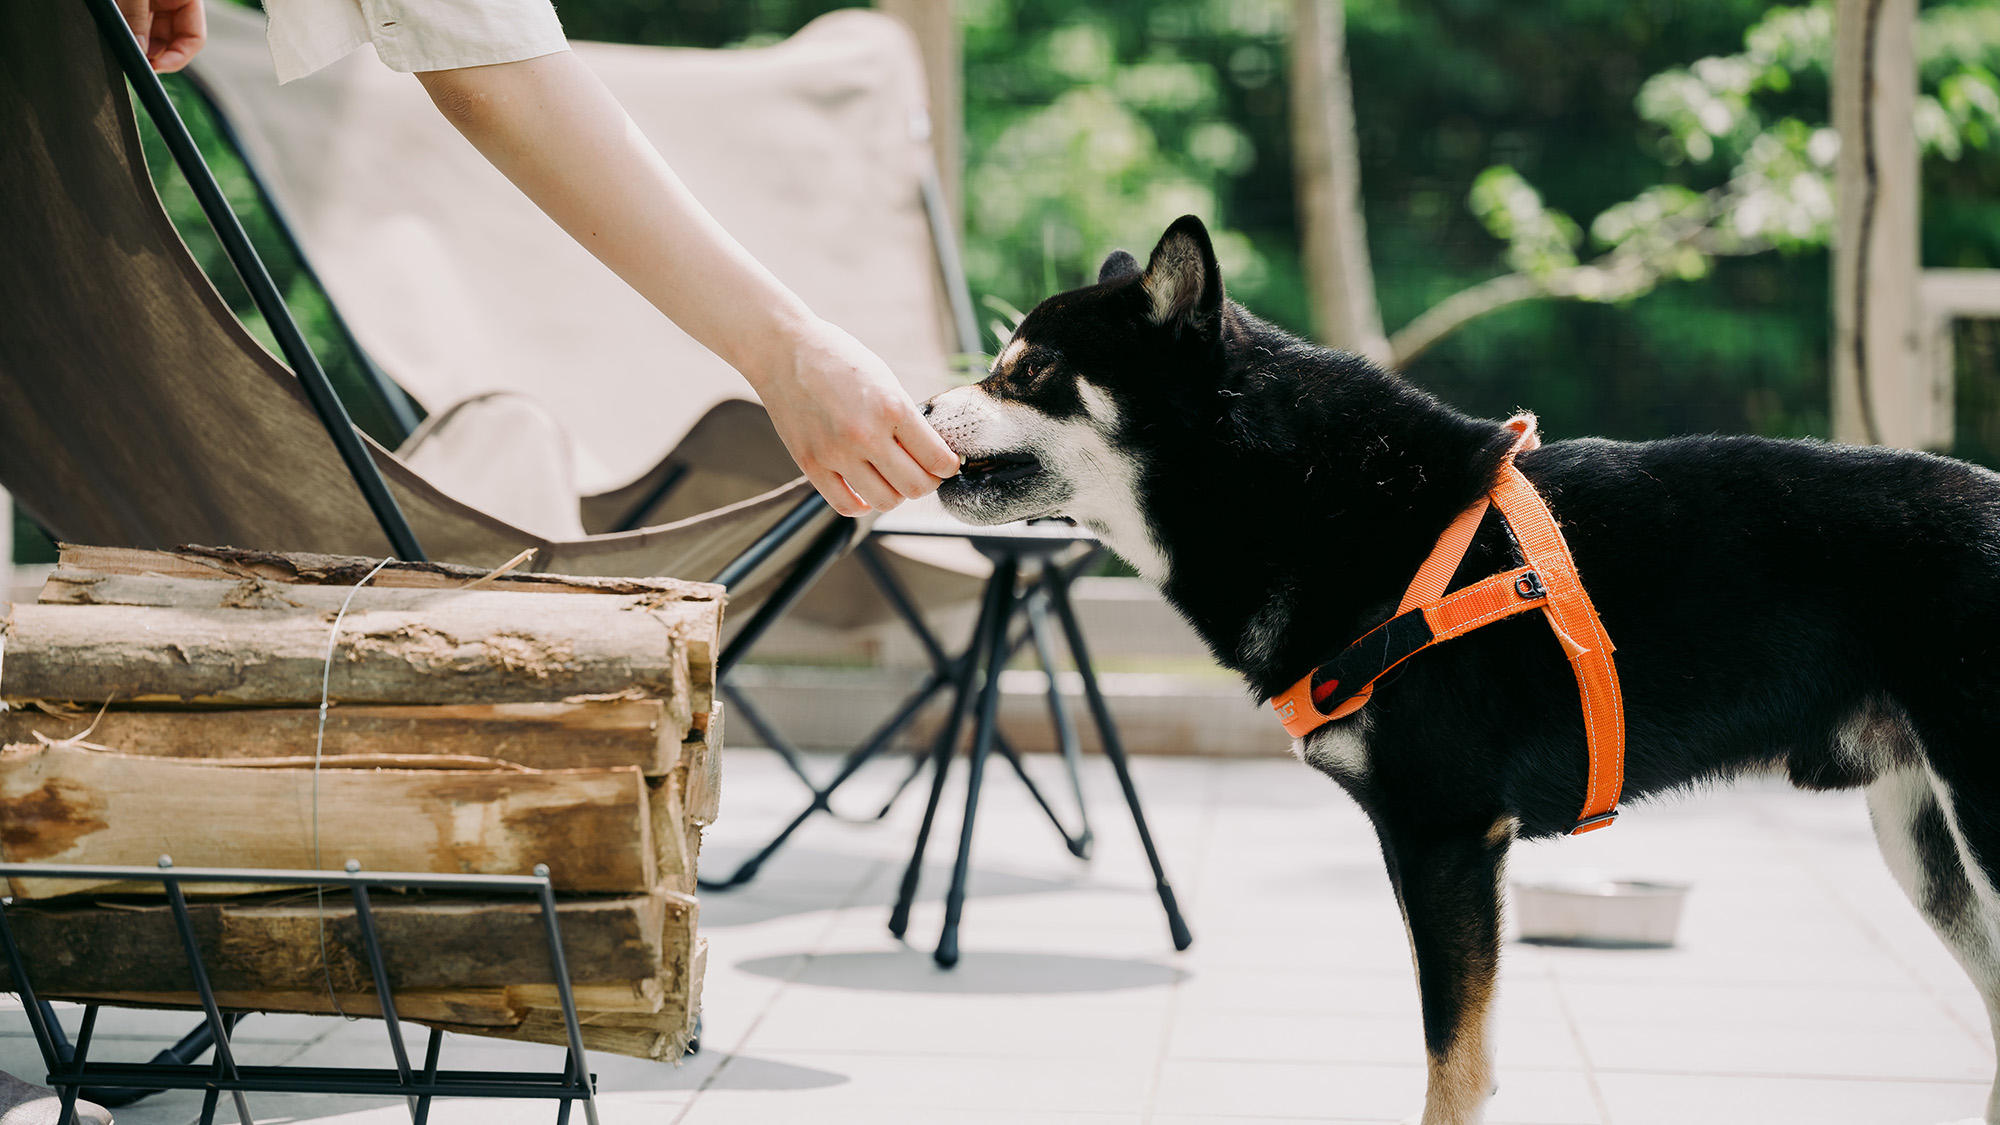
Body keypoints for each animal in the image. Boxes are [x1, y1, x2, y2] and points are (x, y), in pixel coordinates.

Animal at [924, 212, 2000, 1120]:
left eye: (1028, 369)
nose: (926, 401)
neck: (1317, 502)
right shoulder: (1422, 846)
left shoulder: (1447, 836)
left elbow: (1453, 1066)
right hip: (1924, 843)